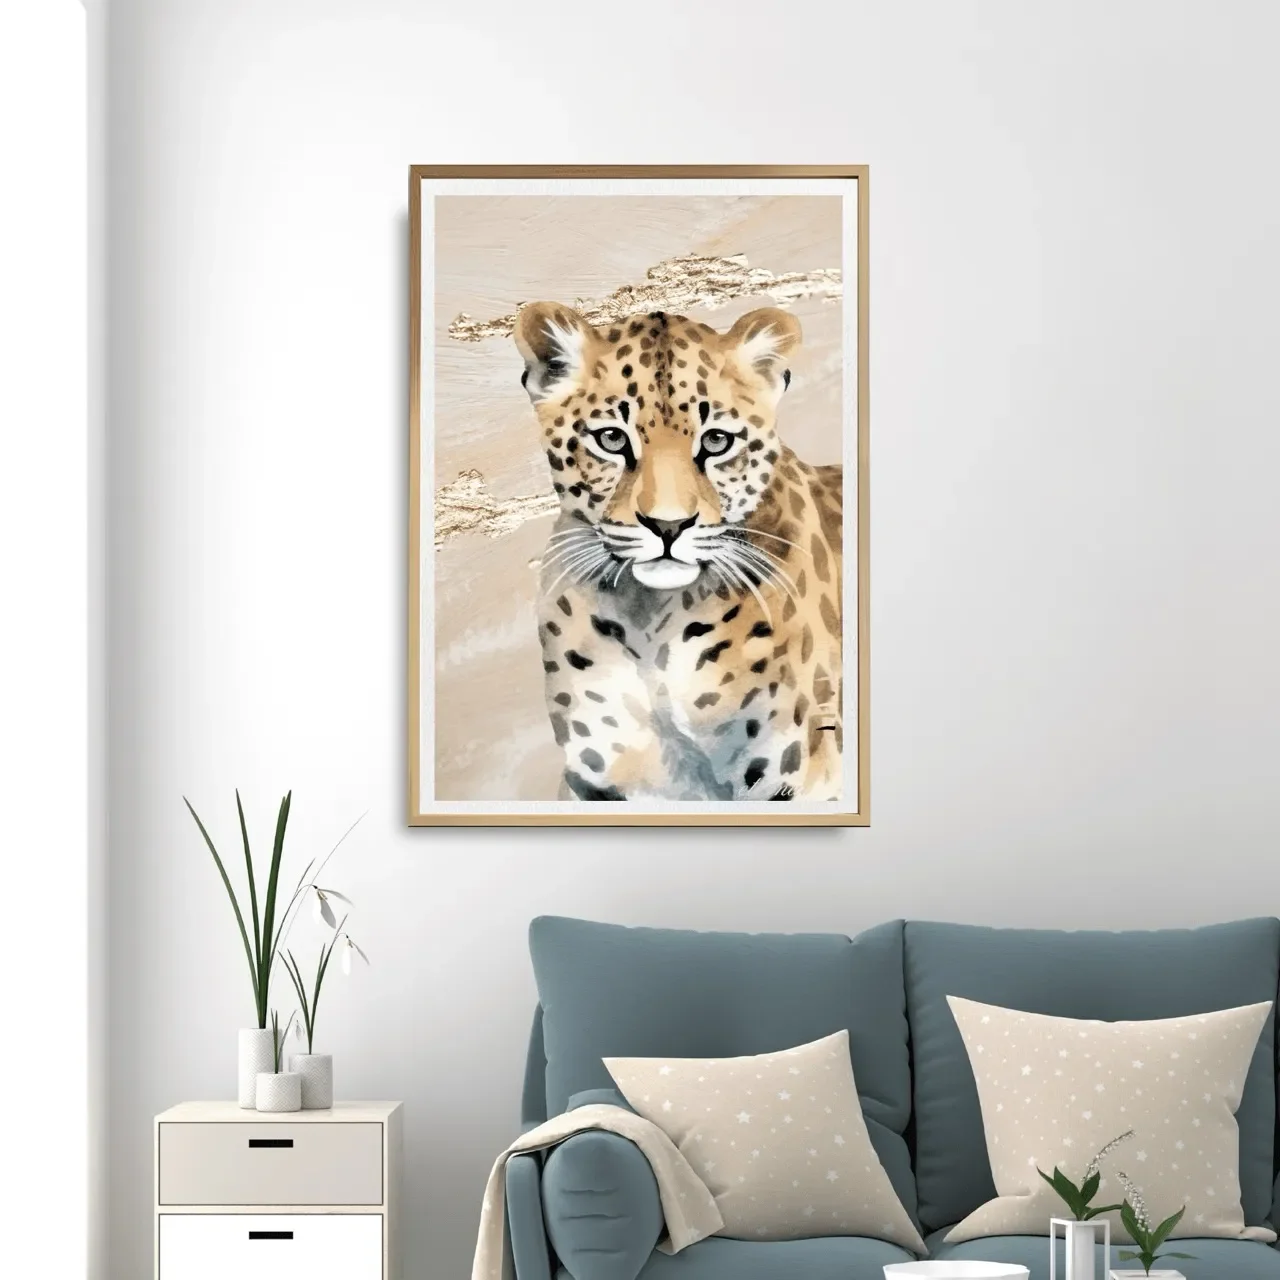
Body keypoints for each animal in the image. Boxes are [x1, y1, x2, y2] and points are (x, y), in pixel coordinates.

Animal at [513, 302, 844, 803]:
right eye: (611, 439)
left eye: (716, 441)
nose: (668, 526)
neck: (648, 622)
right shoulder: (599, 783)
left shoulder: (797, 777)